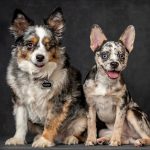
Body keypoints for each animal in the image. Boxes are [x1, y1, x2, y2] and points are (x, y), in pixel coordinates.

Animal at [5, 7, 86, 147]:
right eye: (29, 44)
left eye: (49, 45)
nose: (40, 57)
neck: (37, 75)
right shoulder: (20, 101)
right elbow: (21, 123)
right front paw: (18, 139)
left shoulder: (58, 101)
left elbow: (50, 122)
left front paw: (45, 140)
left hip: (83, 118)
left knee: (78, 133)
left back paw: (70, 138)